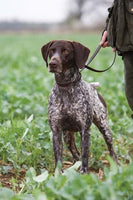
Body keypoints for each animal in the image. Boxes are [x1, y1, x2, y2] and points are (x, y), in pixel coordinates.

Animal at [41, 39, 118, 173]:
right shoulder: (56, 131)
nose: (52, 63)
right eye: (51, 51)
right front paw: (58, 175)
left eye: (65, 51)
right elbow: (58, 158)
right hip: (67, 136)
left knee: (111, 150)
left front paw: (84, 173)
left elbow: (85, 155)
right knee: (75, 154)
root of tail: (93, 87)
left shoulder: (85, 130)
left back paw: (117, 167)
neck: (66, 87)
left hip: (104, 127)